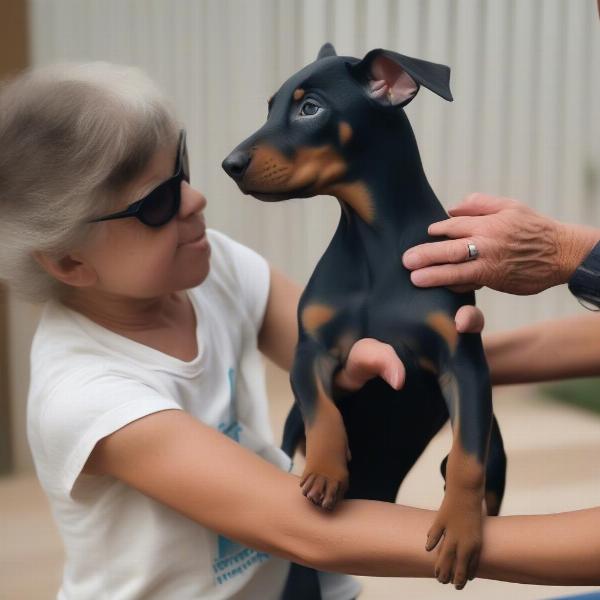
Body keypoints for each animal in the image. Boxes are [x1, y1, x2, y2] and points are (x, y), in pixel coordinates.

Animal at [223, 44, 504, 588]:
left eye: (310, 108)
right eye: (270, 107)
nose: (230, 164)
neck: (374, 241)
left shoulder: (462, 360)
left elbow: (467, 455)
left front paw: (461, 530)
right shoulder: (311, 347)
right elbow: (320, 407)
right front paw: (326, 471)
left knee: (488, 457)